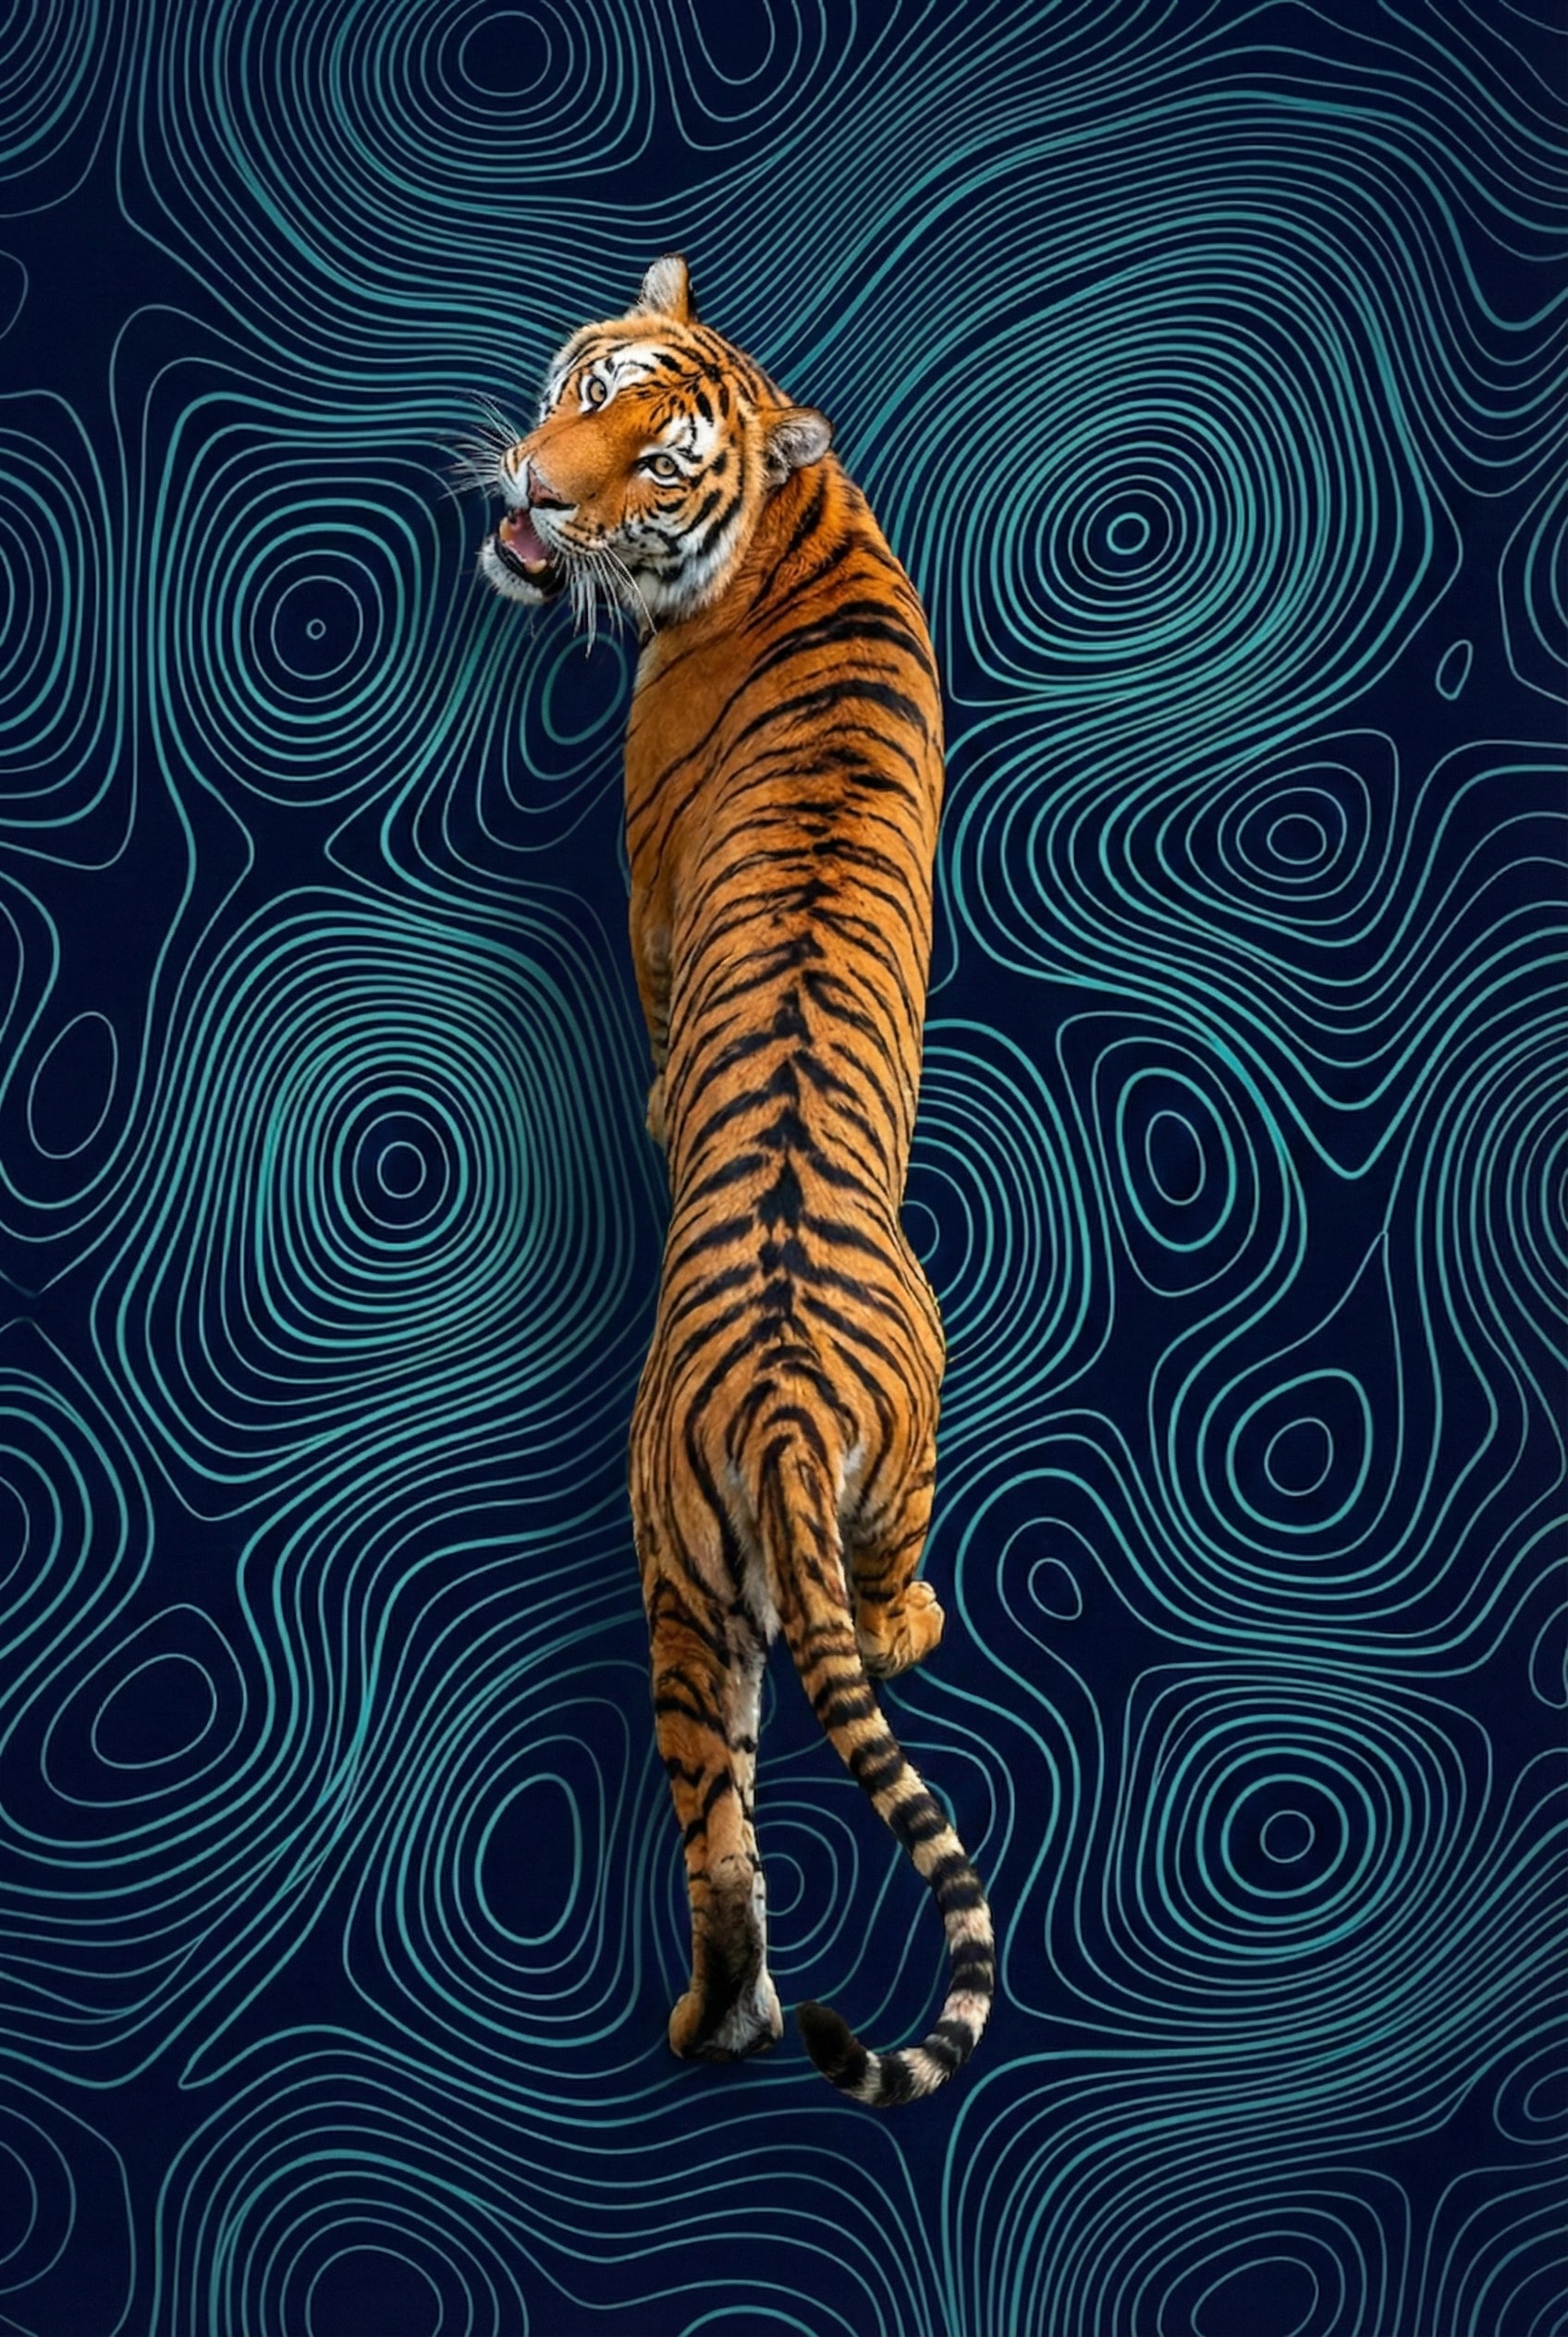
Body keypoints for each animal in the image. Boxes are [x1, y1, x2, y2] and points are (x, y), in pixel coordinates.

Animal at [475, 255, 993, 2105]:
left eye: (653, 460)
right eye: (586, 393)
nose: (536, 493)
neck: (802, 513)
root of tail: (774, 1395)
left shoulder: (644, 895)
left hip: (693, 1581)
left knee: (738, 1822)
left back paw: (711, 2025)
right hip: (803, 1523)